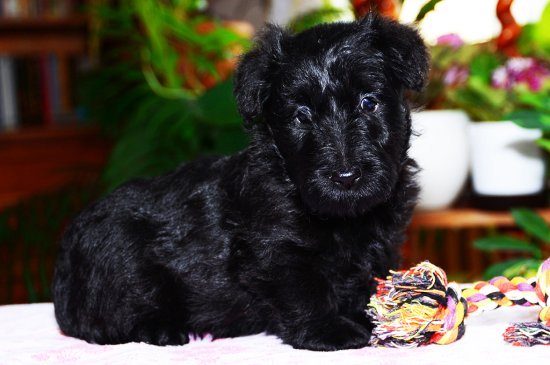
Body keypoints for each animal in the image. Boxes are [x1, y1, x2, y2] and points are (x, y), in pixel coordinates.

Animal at [52, 13, 432, 350]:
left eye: (369, 102)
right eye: (301, 116)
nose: (346, 176)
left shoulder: (380, 245)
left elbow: (366, 282)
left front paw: (375, 315)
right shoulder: (278, 249)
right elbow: (305, 288)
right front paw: (329, 331)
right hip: (125, 264)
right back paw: (165, 330)